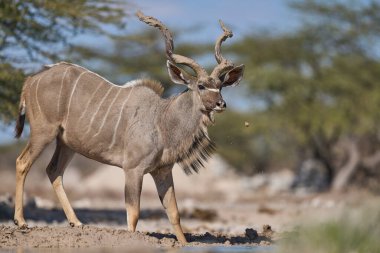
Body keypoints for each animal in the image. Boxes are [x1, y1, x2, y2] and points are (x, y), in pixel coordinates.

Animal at [13, 11, 243, 243]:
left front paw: (183, 243)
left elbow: (174, 213)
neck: (162, 119)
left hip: (66, 144)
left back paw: (76, 222)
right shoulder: (133, 170)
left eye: (221, 86)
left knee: (54, 171)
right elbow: (133, 214)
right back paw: (21, 222)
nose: (221, 104)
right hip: (43, 132)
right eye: (201, 86)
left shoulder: (162, 172)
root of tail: (31, 79)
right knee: (22, 162)